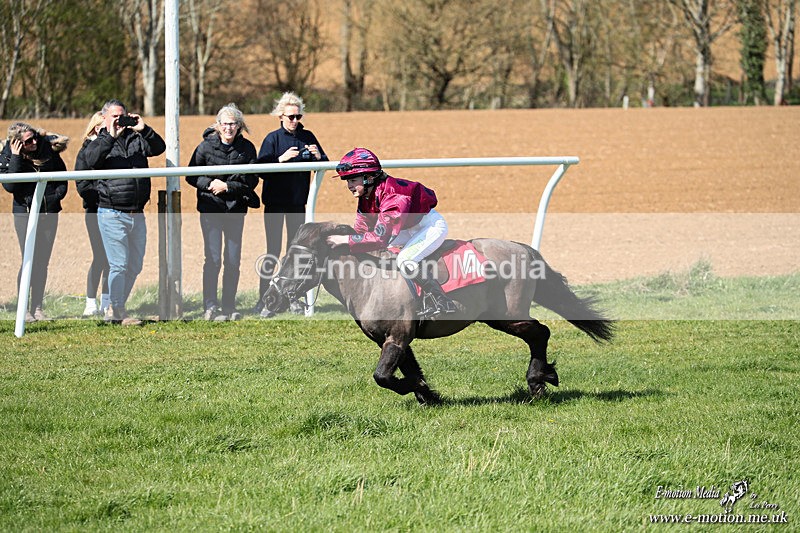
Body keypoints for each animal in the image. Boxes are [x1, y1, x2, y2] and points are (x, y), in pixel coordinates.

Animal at [263, 221, 614, 405]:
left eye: (302, 261)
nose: (270, 297)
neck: (371, 279)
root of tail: (524, 249)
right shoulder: (393, 338)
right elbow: (407, 370)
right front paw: (427, 394)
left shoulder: (398, 335)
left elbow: (383, 376)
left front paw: (416, 390)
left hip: (507, 315)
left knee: (540, 332)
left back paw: (538, 381)